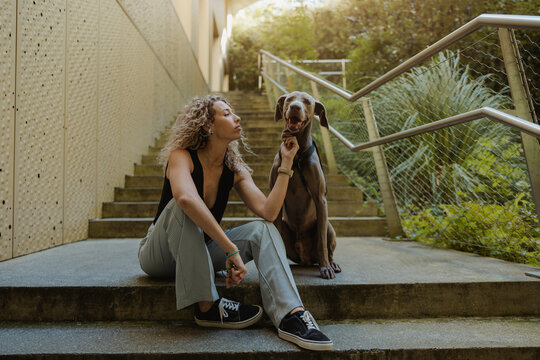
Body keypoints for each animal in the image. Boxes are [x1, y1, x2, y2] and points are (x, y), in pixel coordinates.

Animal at [270, 91, 342, 280]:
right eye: (289, 99)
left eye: (308, 102)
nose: (295, 107)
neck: (296, 157)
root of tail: (306, 259)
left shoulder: (320, 199)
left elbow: (322, 242)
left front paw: (326, 268)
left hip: (329, 227)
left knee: (328, 246)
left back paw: (332, 264)